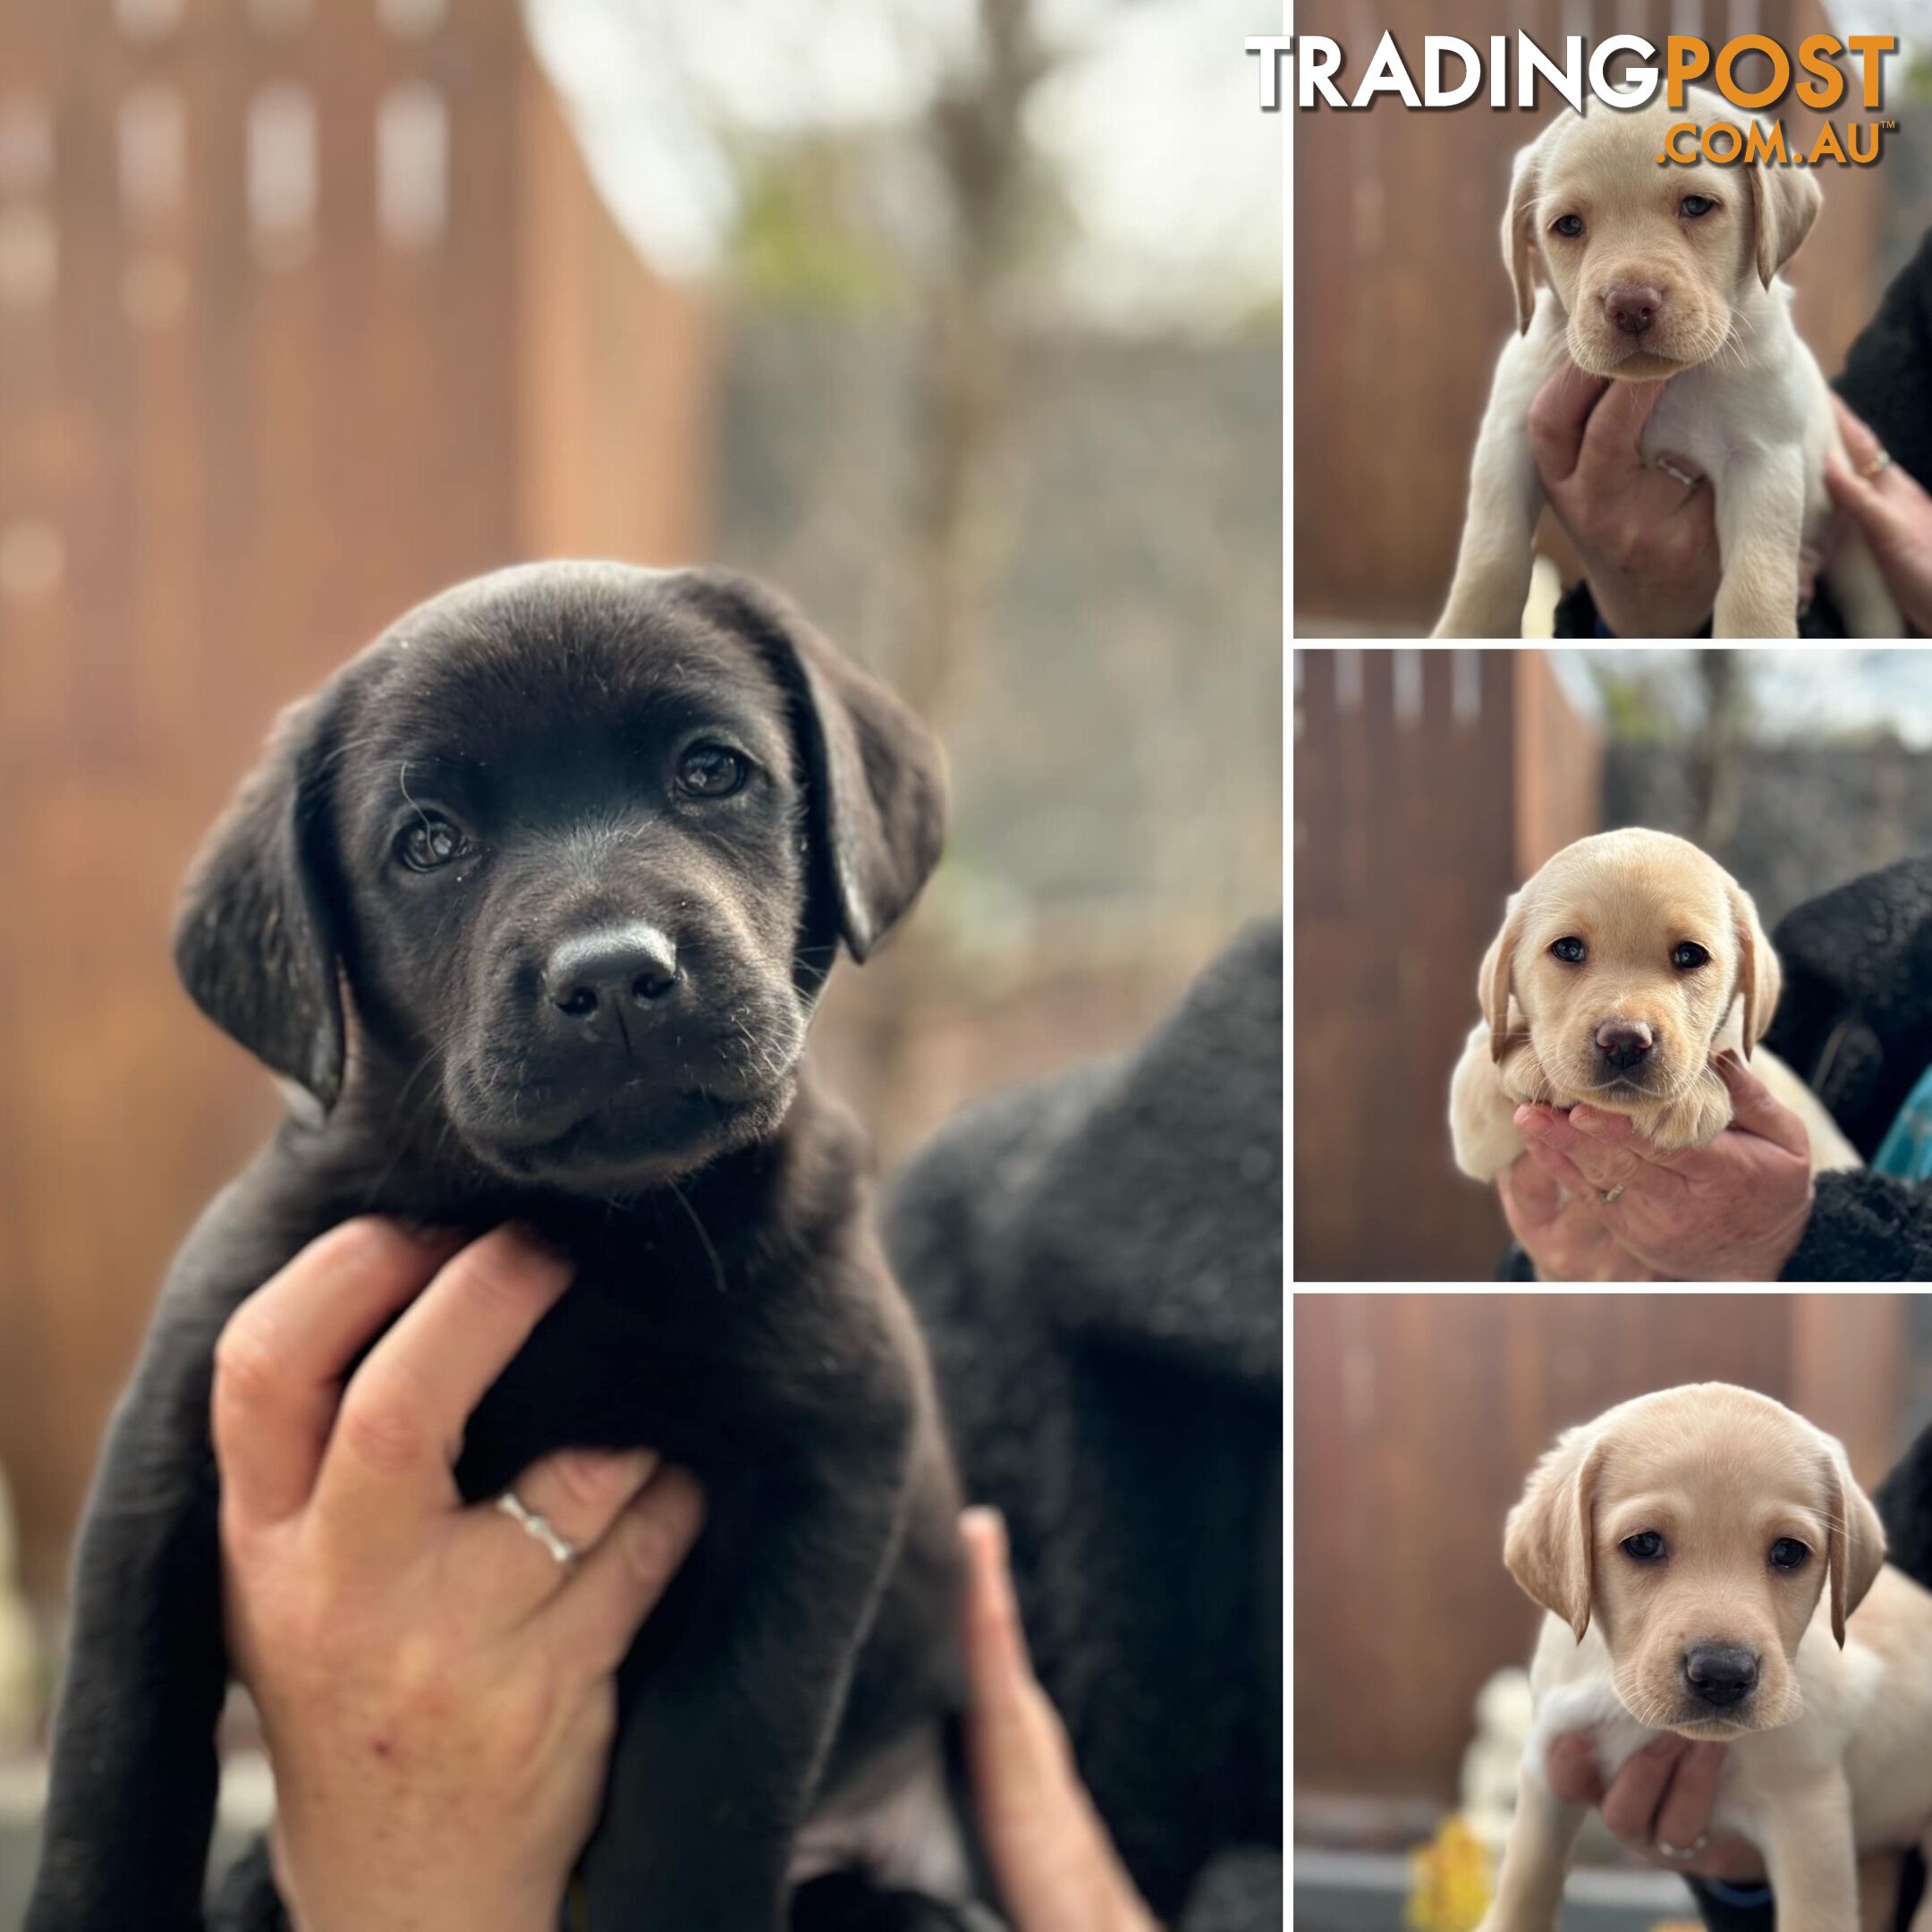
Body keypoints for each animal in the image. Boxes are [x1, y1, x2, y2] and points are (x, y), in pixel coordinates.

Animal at [35, 564, 981, 1932]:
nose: (618, 974)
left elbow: (709, 1782)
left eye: (713, 770)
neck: (593, 1228)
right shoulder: (169, 1440)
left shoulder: (823, 1466)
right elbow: (117, 1750)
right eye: (428, 841)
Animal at [1445, 87, 1893, 641]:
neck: (1667, 384)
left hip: (1858, 551)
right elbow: (1490, 555)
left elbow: (1756, 586)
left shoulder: (1762, 460)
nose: (1630, 305)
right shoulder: (1508, 435)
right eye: (1568, 225)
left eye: (1697, 205)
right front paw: (1463, 632)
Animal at [1453, 826, 1862, 1174]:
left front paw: (1691, 1098)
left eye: (1690, 955)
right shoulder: (1475, 1134)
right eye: (1568, 949)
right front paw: (1529, 1062)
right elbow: (1483, 1067)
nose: (1624, 1042)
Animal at [1483, 1383, 1932, 1932]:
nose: (1722, 1675)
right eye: (1644, 1544)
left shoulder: (1809, 1815)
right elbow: (1524, 1881)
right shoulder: (1548, 1764)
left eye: (1789, 1552)